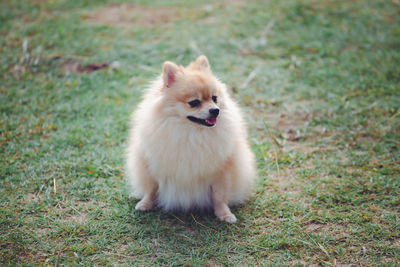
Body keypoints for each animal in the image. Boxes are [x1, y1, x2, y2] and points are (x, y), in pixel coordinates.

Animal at [126, 55, 256, 224]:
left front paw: (224, 214)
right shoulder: (150, 166)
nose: (216, 110)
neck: (191, 134)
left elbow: (219, 197)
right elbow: (151, 188)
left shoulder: (221, 172)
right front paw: (145, 204)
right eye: (194, 103)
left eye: (214, 98)